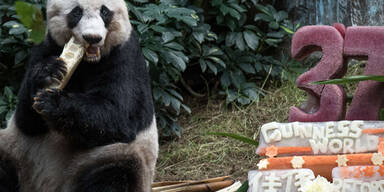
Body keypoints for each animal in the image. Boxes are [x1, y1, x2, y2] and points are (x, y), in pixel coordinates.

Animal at [0, 0, 158, 191]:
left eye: (105, 11)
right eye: (76, 12)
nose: (92, 38)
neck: (88, 62)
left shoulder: (125, 54)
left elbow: (119, 113)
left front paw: (52, 102)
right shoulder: (46, 45)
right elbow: (26, 120)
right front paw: (48, 72)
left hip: (108, 156)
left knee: (116, 173)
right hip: (18, 152)